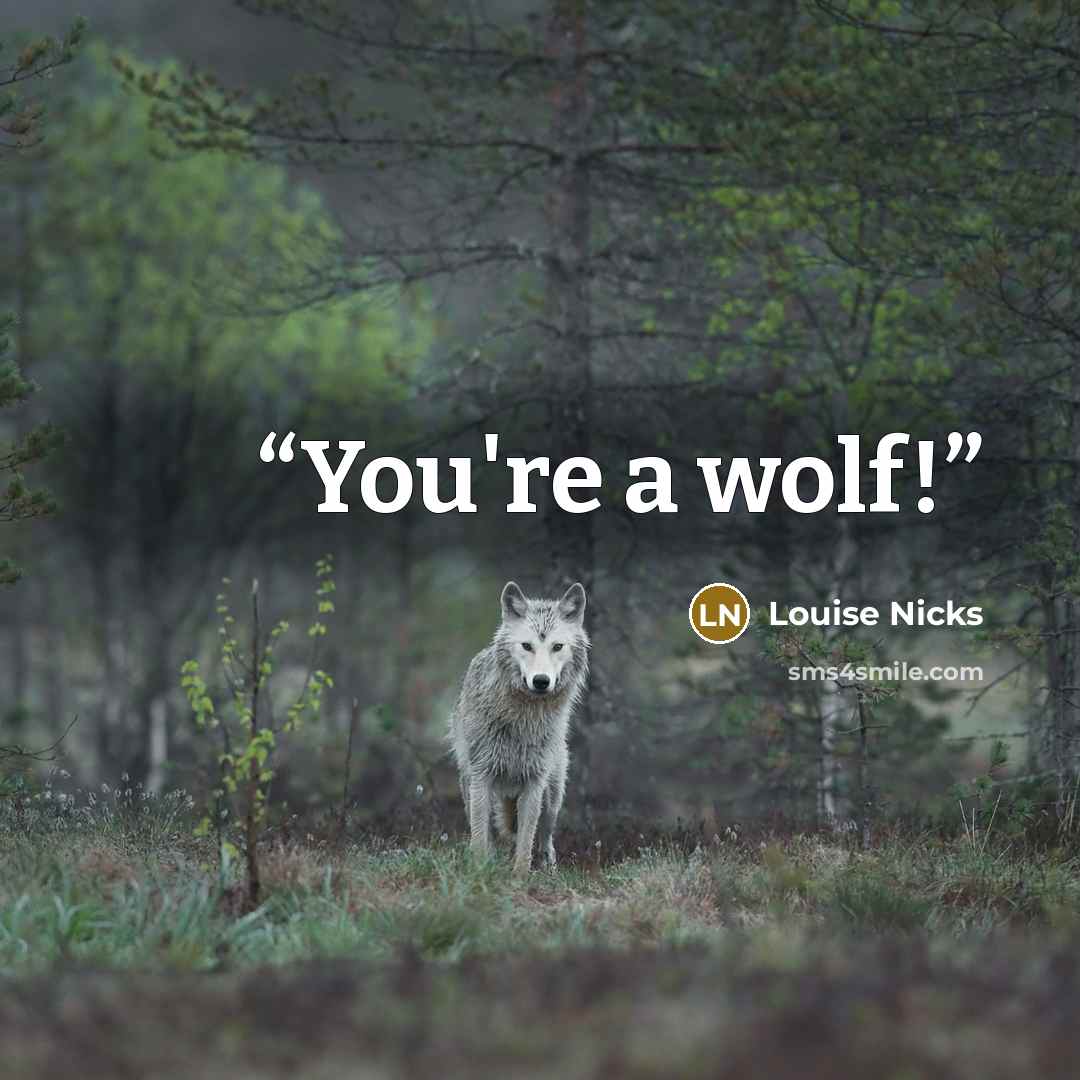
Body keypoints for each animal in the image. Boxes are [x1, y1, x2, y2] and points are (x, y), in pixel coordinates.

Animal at [449, 580, 589, 875]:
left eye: (557, 646)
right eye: (527, 646)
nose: (541, 681)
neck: (523, 719)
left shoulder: (534, 783)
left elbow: (526, 841)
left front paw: (520, 877)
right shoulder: (481, 777)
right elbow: (480, 838)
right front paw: (480, 872)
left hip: (552, 796)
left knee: (544, 837)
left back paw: (548, 868)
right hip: (469, 786)